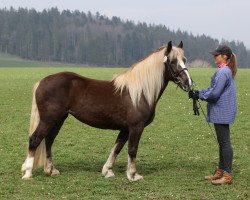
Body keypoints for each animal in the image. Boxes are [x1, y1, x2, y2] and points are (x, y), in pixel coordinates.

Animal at [22, 41, 193, 181]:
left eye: (184, 60)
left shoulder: (125, 128)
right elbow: (132, 149)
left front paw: (108, 171)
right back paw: (28, 173)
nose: (188, 82)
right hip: (49, 119)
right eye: (172, 61)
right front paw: (133, 175)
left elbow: (117, 148)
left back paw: (50, 170)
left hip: (58, 119)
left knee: (48, 140)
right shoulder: (136, 127)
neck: (139, 92)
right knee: (35, 139)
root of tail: (42, 81)